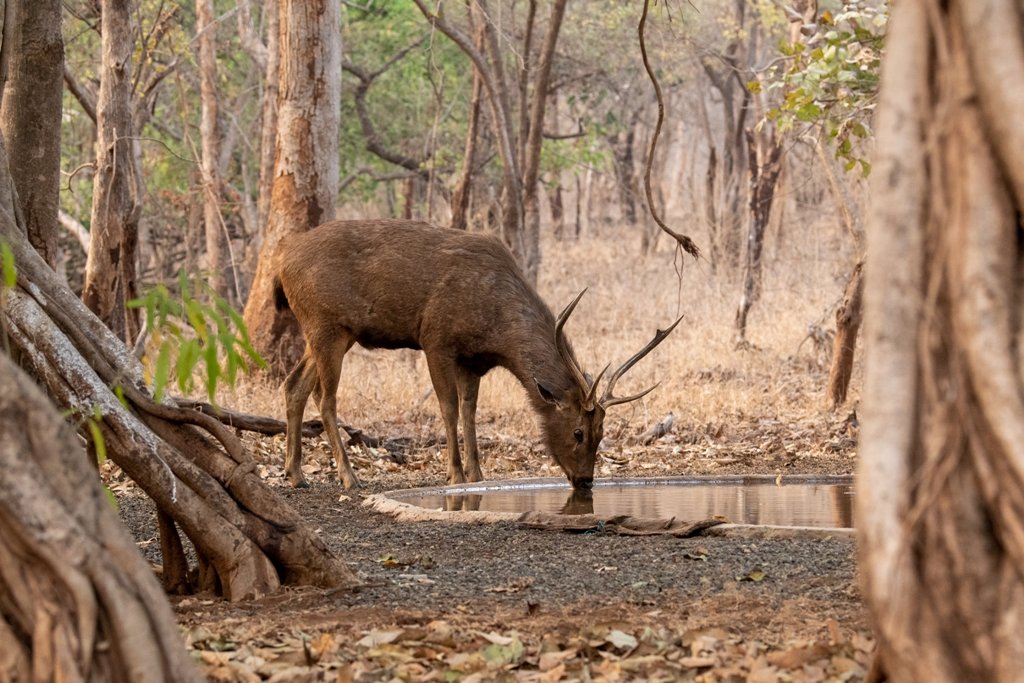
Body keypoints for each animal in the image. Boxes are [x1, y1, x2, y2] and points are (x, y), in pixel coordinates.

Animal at [272, 218, 679, 485]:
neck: (496, 331)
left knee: (294, 385)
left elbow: (470, 411)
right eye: (579, 432)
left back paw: (295, 474)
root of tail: (282, 255)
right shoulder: (435, 338)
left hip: (333, 332)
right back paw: (348, 477)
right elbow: (449, 407)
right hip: (325, 324)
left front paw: (477, 473)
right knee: (325, 399)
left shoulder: (473, 361)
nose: (585, 481)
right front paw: (454, 475)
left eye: (601, 432)